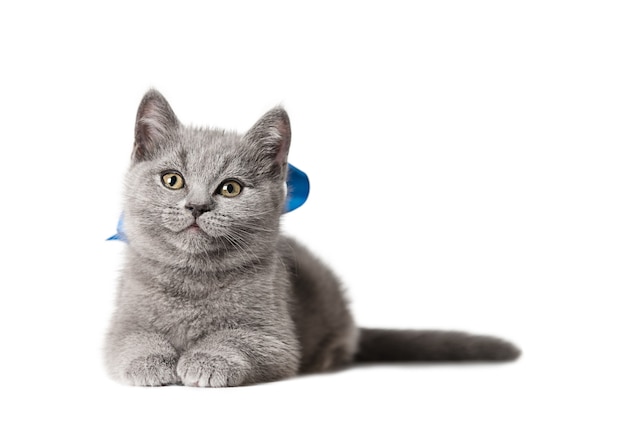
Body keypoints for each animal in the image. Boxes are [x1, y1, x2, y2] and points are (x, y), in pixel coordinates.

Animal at [105, 90, 520, 386]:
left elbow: (236, 339)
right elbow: (132, 340)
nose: (196, 206)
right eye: (172, 180)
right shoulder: (120, 325)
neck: (193, 280)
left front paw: (206, 360)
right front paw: (150, 362)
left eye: (230, 188)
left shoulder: (277, 339)